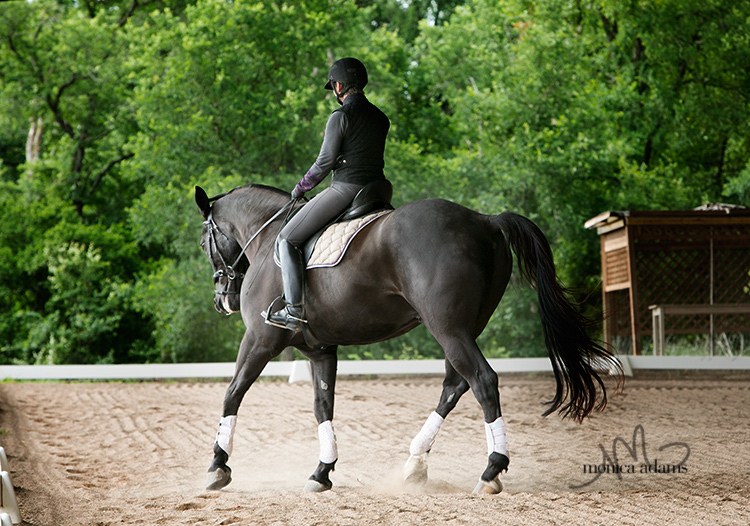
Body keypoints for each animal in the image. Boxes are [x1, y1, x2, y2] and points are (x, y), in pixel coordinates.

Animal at [195, 185, 624, 496]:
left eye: (204, 243)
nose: (222, 301)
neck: (269, 238)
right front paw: (322, 472)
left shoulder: (259, 340)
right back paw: (416, 464)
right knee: (455, 385)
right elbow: (322, 406)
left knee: (482, 381)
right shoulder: (320, 350)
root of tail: (485, 220)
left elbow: (233, 393)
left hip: (447, 327)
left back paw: (490, 470)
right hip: (464, 327)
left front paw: (217, 466)